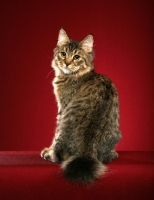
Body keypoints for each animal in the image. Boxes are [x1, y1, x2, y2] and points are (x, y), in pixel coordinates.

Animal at [40, 28, 121, 184]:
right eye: (63, 54)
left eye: (76, 57)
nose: (66, 63)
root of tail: (86, 151)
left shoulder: (62, 107)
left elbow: (55, 135)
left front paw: (48, 150)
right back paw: (113, 154)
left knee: (60, 155)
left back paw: (50, 154)